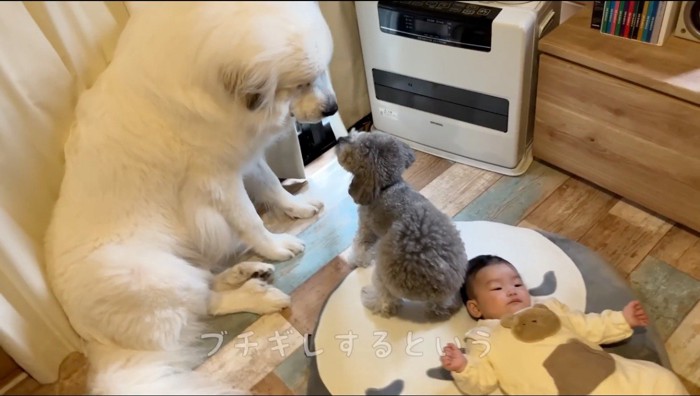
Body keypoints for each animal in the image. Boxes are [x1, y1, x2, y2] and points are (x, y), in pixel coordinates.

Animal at [44, 1, 340, 394]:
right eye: (300, 83)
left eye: (321, 72)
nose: (333, 108)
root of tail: (91, 339)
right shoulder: (218, 177)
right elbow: (251, 219)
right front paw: (277, 247)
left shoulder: (239, 154)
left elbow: (271, 185)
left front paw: (298, 208)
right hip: (156, 276)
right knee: (207, 303)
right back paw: (259, 294)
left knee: (207, 287)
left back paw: (247, 271)